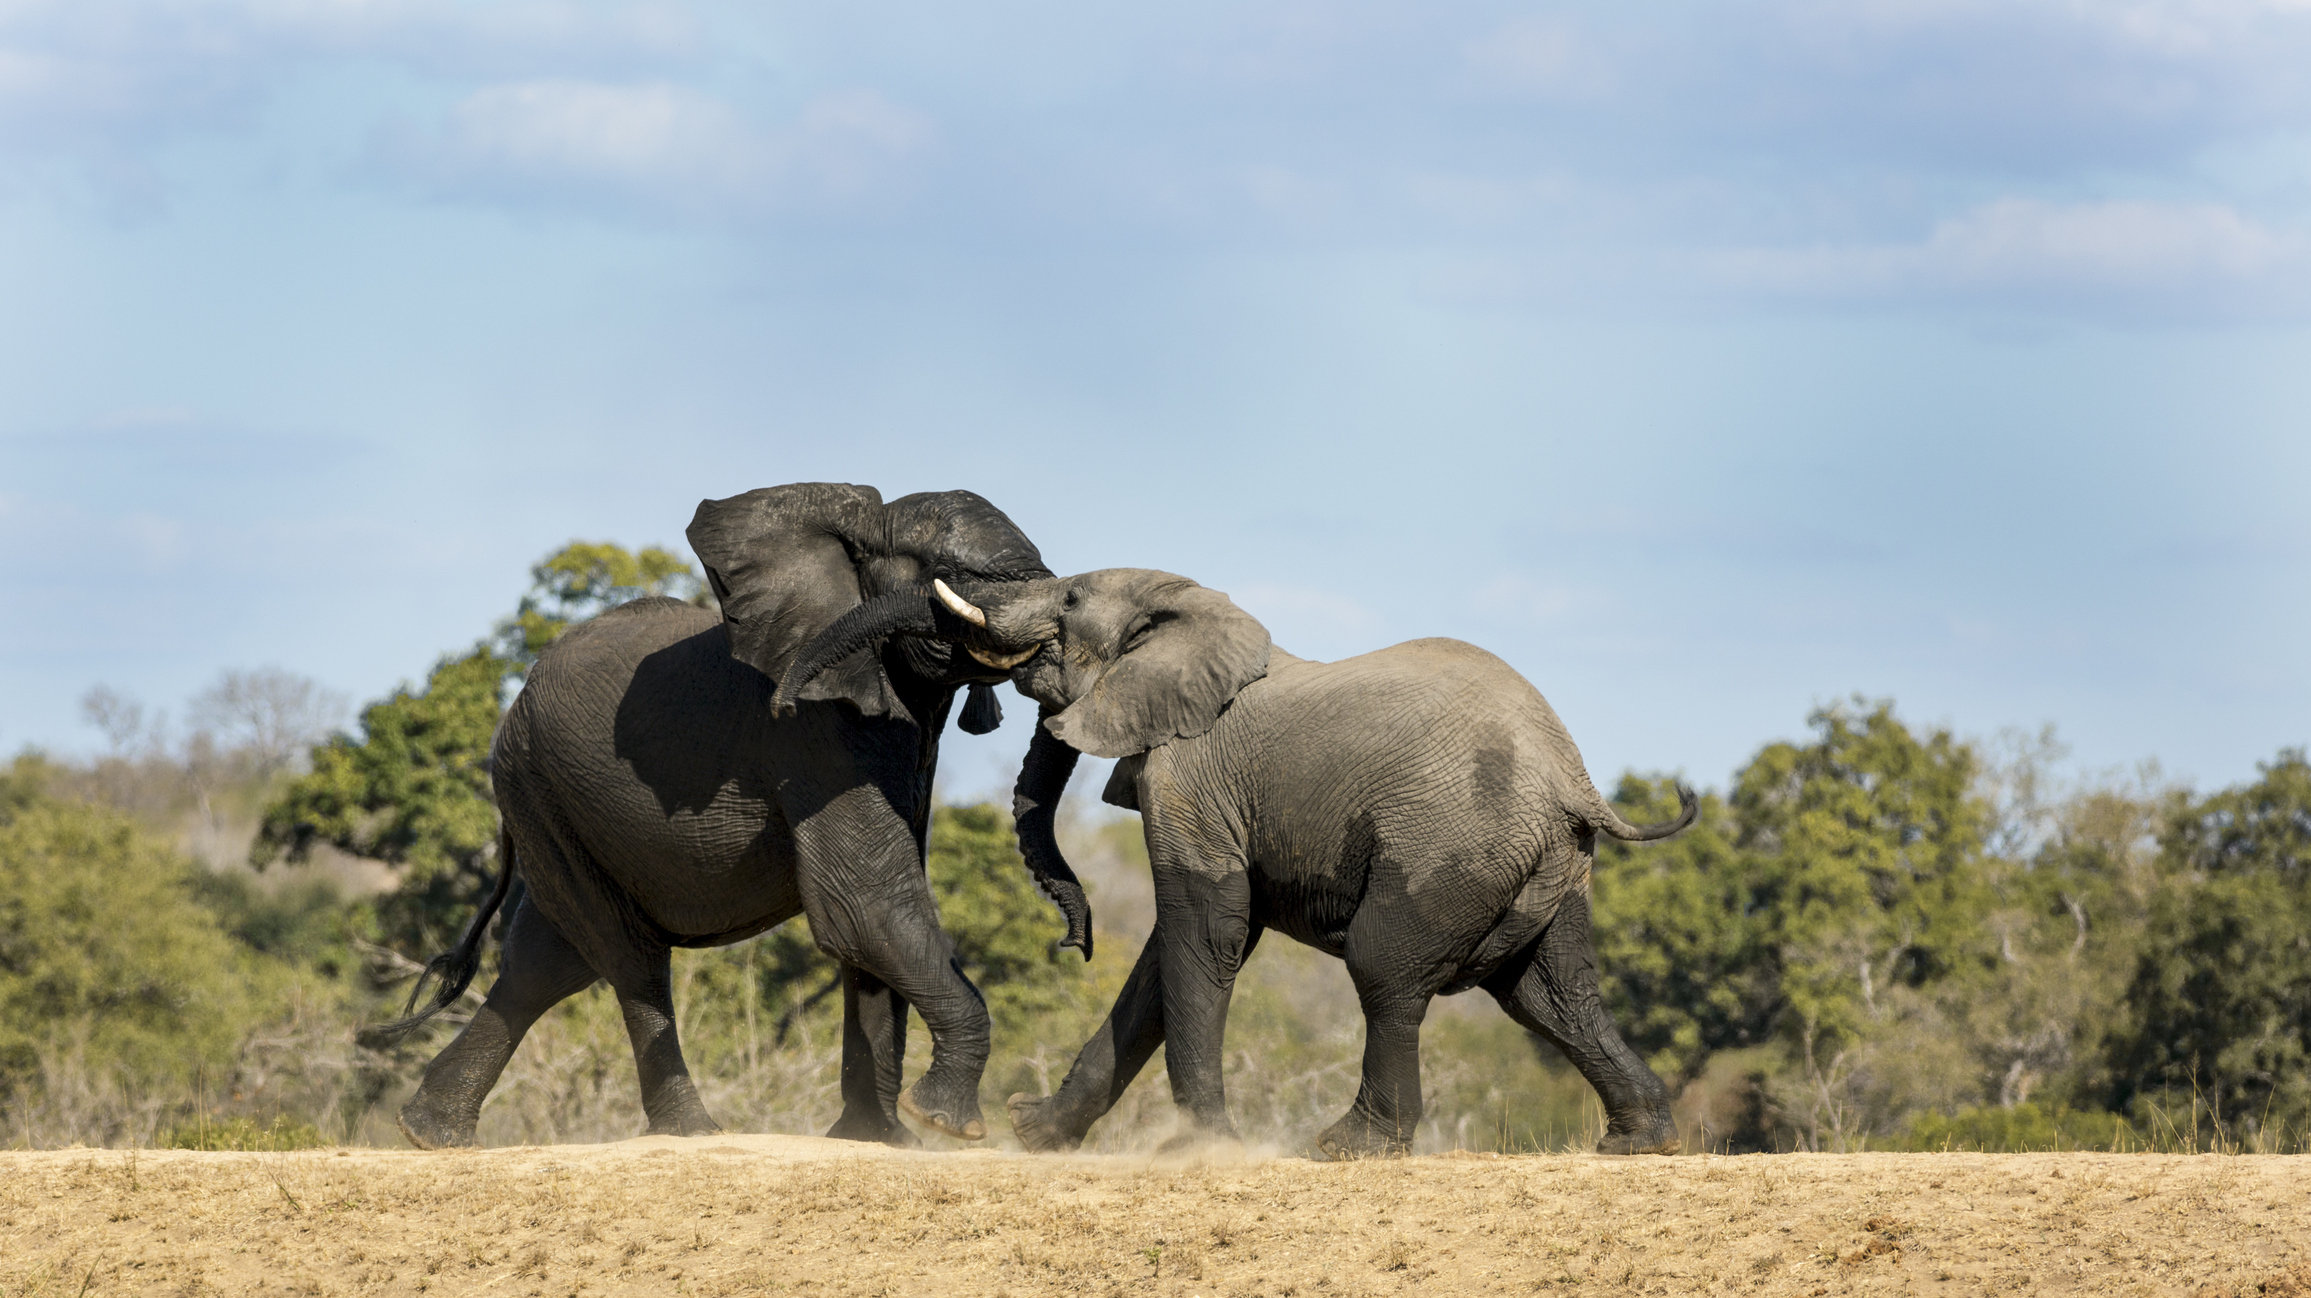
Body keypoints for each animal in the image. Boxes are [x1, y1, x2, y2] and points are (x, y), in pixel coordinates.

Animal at [379, 483, 1091, 1150]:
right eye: (948, 572)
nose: (1074, 945)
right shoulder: (816, 734)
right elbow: (867, 905)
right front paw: (947, 1124)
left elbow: (875, 922)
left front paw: (883, 1139)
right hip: (538, 783)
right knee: (629, 959)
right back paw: (692, 1131)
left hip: (553, 805)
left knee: (549, 959)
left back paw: (427, 1133)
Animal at [778, 567, 1696, 1158]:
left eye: (1069, 598)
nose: (1072, 943)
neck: (1183, 612)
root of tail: (1573, 781)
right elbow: (1164, 957)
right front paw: (1033, 1132)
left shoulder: (1190, 776)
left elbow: (1205, 932)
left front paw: (1197, 1146)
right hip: (1544, 870)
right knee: (1550, 994)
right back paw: (1636, 1144)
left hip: (1449, 847)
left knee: (1386, 972)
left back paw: (1347, 1147)